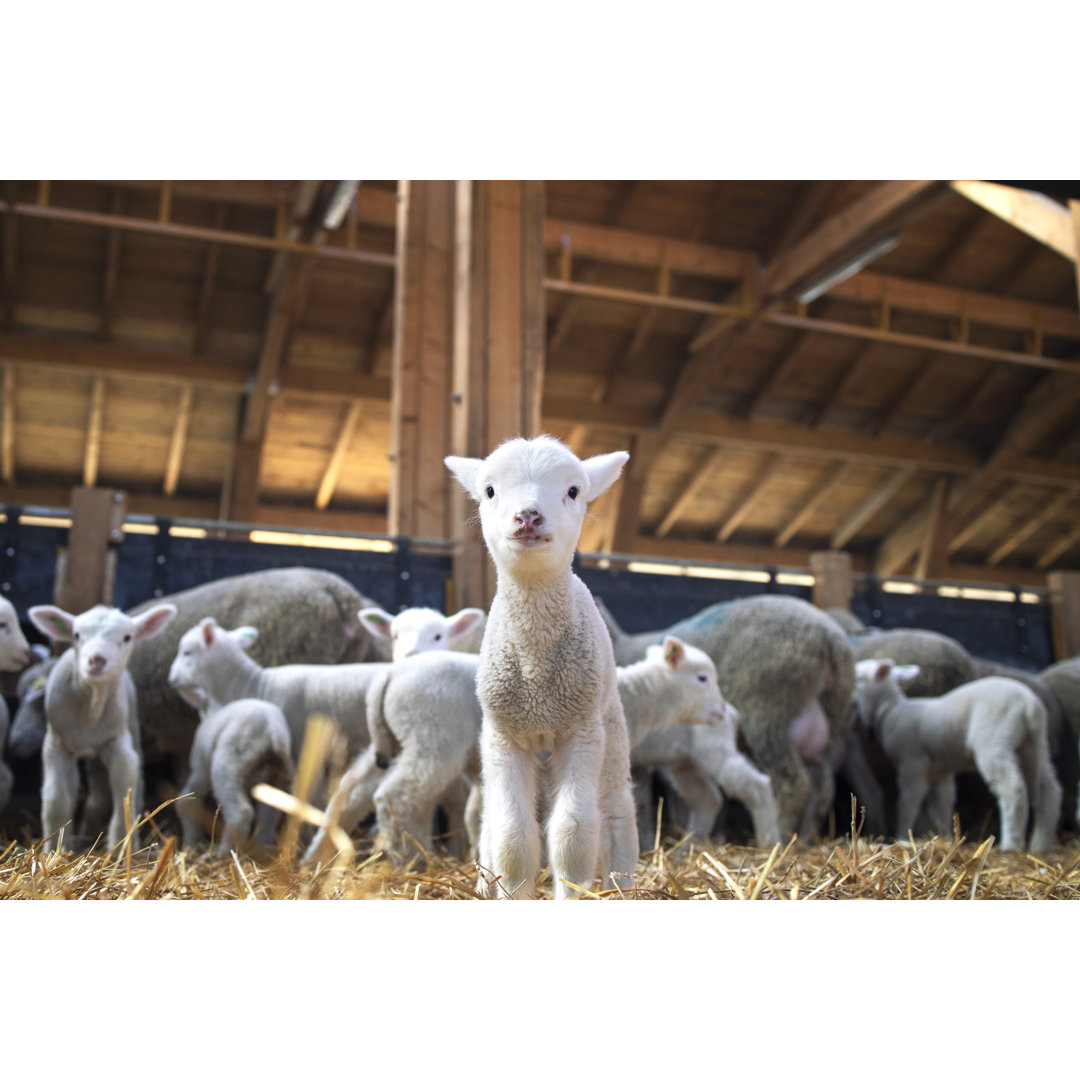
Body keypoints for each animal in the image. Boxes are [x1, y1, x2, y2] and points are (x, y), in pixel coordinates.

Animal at [28, 600, 177, 851]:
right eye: (77, 635)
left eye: (127, 637)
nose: (97, 660)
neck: (91, 708)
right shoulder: (56, 744)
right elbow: (57, 799)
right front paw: (55, 848)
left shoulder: (118, 743)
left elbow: (124, 787)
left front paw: (121, 845)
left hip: (132, 723)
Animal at [173, 686, 293, 855]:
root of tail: (272, 730)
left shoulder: (200, 767)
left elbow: (186, 801)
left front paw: (191, 840)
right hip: (277, 776)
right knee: (269, 817)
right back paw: (262, 851)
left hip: (227, 765)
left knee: (241, 814)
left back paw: (224, 853)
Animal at [444, 434, 630, 898]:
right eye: (490, 491)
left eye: (573, 491)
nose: (528, 516)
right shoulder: (504, 738)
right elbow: (513, 838)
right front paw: (510, 891)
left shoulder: (581, 733)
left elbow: (573, 834)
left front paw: (571, 892)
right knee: (490, 825)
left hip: (611, 733)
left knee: (616, 814)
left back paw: (625, 886)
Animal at [851, 656, 1062, 851]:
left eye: (858, 678)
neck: (890, 711)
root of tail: (1029, 705)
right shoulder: (940, 773)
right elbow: (942, 805)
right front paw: (945, 836)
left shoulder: (912, 763)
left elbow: (908, 803)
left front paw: (901, 835)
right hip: (1034, 747)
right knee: (1049, 790)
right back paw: (1041, 845)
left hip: (994, 741)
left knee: (1013, 788)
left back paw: (1011, 844)